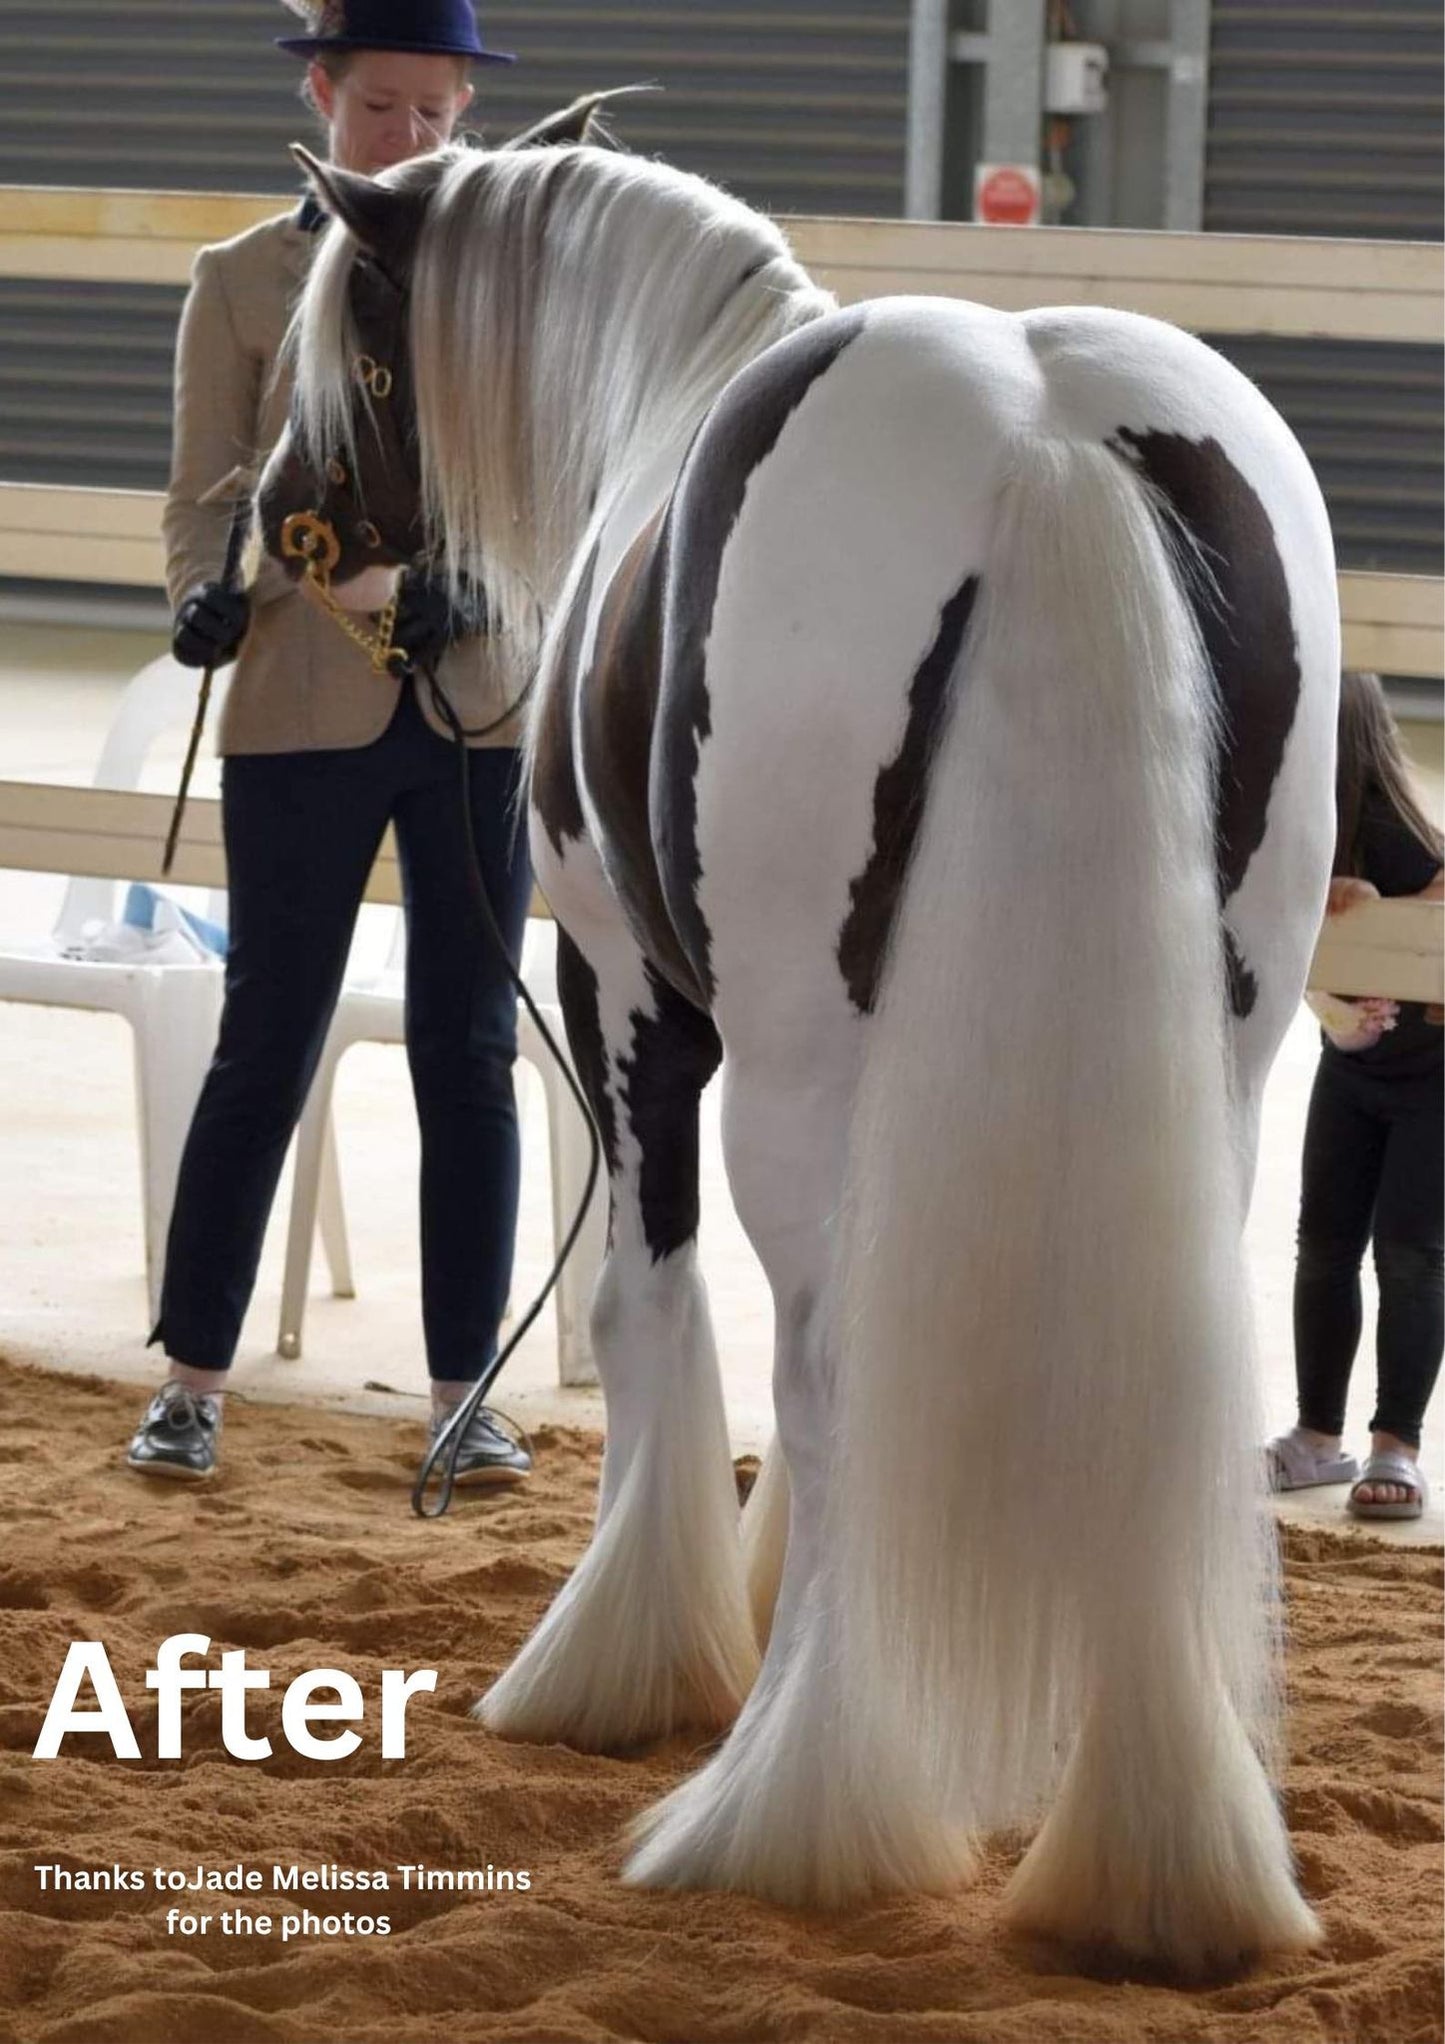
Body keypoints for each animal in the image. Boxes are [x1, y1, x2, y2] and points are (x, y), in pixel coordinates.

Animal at [257, 133, 1341, 1976]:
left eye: (356, 343)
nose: (274, 524)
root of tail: (1046, 437)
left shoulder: (623, 995)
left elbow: (653, 1313)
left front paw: (620, 1661)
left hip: (791, 1066)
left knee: (830, 1367)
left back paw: (792, 1803)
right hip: (1237, 1059)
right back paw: (1153, 1857)